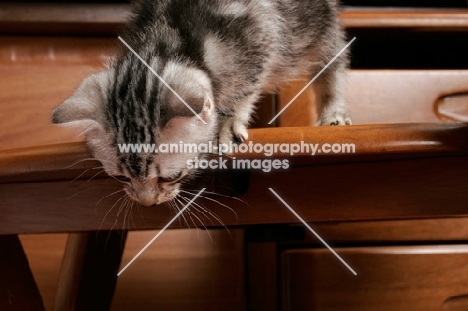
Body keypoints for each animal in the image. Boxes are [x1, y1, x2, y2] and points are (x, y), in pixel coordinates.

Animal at [51, 0, 352, 207]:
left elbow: (246, 84)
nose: (148, 203)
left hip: (318, 26)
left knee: (332, 62)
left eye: (171, 177)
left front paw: (228, 121)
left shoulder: (262, 33)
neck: (164, 39)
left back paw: (333, 113)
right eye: (121, 178)